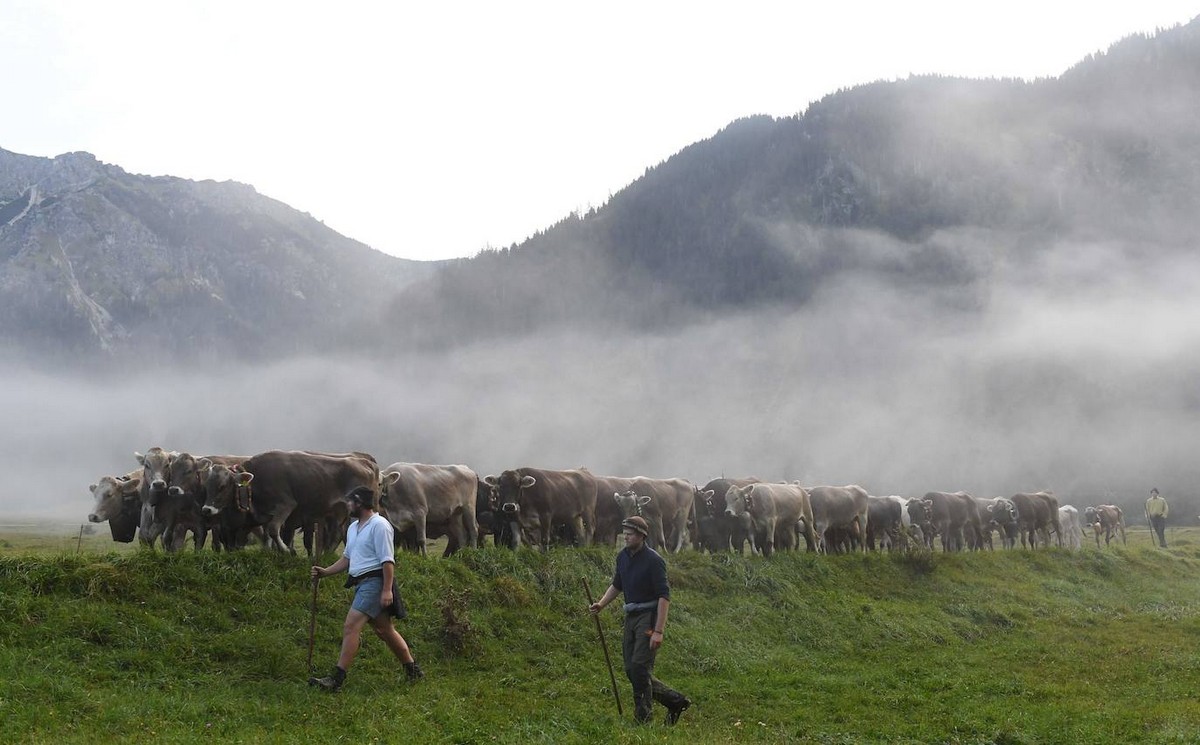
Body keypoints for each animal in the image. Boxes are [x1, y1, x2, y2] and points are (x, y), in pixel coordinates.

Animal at [201, 446, 376, 551]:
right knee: (337, 534)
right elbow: (264, 535)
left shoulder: (286, 505)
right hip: (337, 512)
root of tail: (362, 461)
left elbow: (273, 530)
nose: (206, 509)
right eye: (207, 486)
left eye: (222, 486)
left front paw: (285, 550)